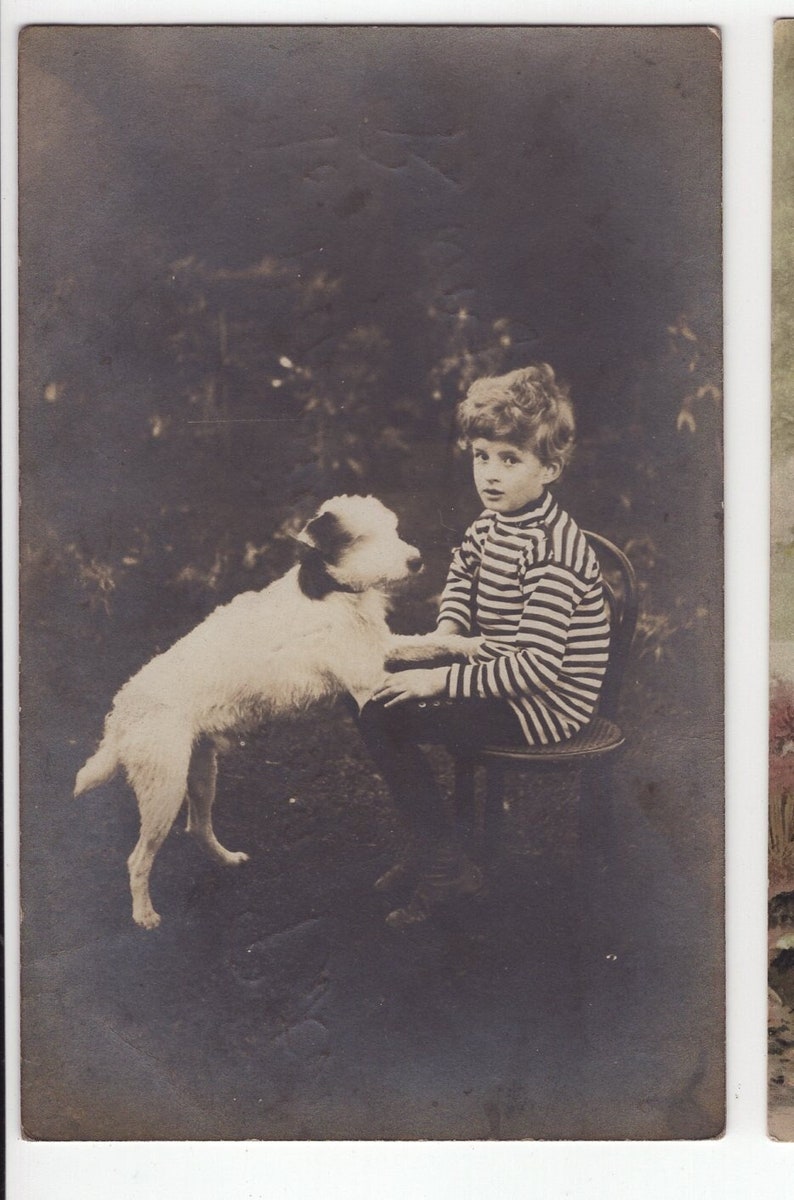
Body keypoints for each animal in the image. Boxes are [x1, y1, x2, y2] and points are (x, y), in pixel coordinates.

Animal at [74, 496, 479, 926]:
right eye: (363, 538)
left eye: (393, 529)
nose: (416, 561)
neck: (331, 591)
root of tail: (122, 712)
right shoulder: (368, 681)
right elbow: (418, 671)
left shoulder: (381, 650)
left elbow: (432, 643)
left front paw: (474, 645)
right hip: (162, 790)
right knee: (138, 859)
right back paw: (144, 914)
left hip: (200, 772)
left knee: (197, 827)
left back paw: (227, 860)